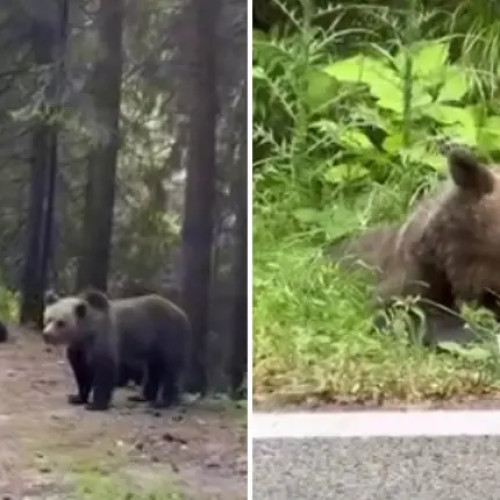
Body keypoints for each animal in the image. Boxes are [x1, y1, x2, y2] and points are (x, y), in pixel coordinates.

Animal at [41, 290, 188, 410]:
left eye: (61, 322)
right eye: (48, 319)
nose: (46, 335)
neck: (86, 333)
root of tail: (181, 312)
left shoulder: (103, 339)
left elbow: (105, 370)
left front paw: (95, 404)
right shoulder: (79, 349)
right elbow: (82, 372)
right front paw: (76, 397)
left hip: (168, 336)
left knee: (170, 369)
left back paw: (162, 402)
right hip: (153, 347)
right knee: (153, 369)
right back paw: (142, 397)